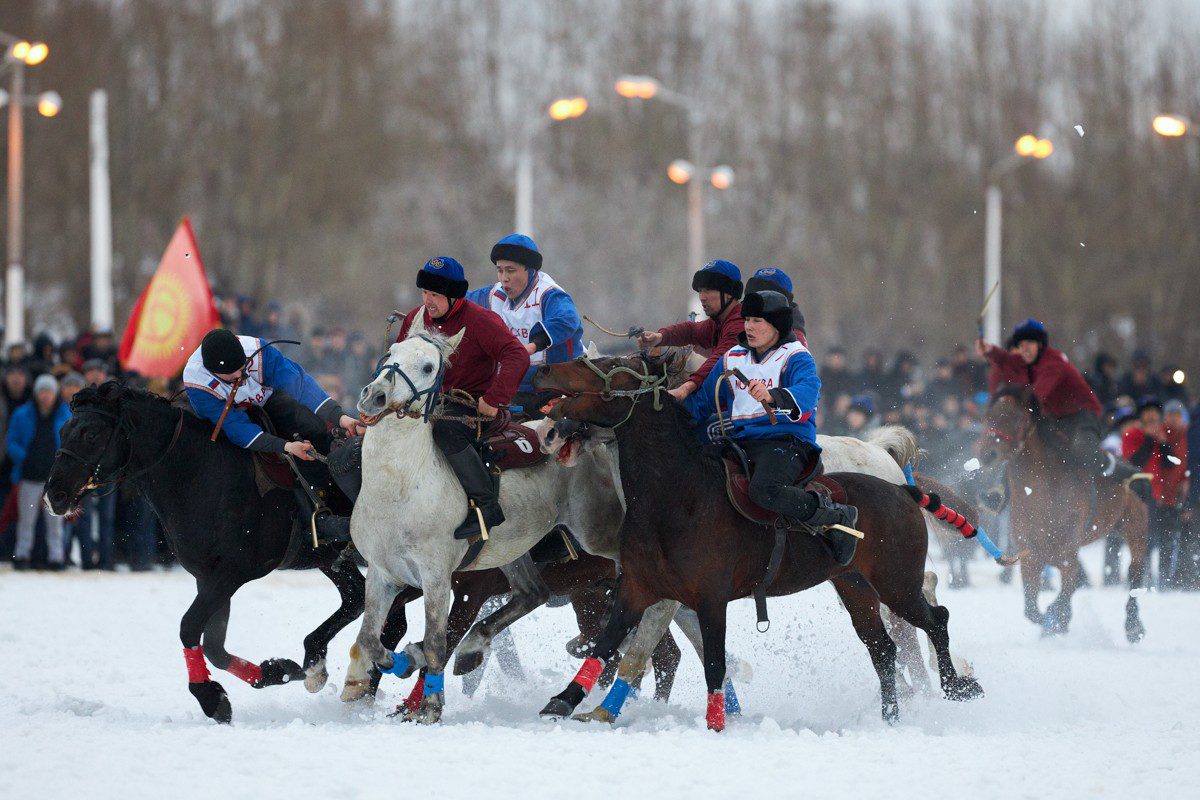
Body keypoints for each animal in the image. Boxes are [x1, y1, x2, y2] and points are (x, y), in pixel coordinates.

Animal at [45, 381, 364, 724]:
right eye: (62, 430)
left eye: (91, 434)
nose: (54, 496)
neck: (202, 474)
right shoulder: (208, 577)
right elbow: (213, 646)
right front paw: (275, 671)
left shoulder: (230, 573)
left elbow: (188, 627)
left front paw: (209, 696)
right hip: (329, 558)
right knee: (356, 597)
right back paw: (315, 661)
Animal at [530, 352, 979, 729]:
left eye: (610, 364)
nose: (544, 370)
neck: (680, 496)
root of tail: (901, 487)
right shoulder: (637, 589)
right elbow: (604, 645)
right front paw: (563, 702)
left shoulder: (710, 599)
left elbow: (714, 662)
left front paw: (716, 723)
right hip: (854, 586)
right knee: (882, 648)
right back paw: (890, 715)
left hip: (896, 583)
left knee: (935, 619)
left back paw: (957, 685)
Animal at [979, 383, 1147, 642]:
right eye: (988, 416)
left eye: (1017, 418)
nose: (987, 453)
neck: (1043, 497)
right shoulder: (1030, 559)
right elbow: (1031, 609)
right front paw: (1054, 623)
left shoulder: (1068, 556)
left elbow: (1066, 591)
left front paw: (1056, 620)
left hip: (1135, 526)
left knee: (1135, 571)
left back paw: (1133, 626)